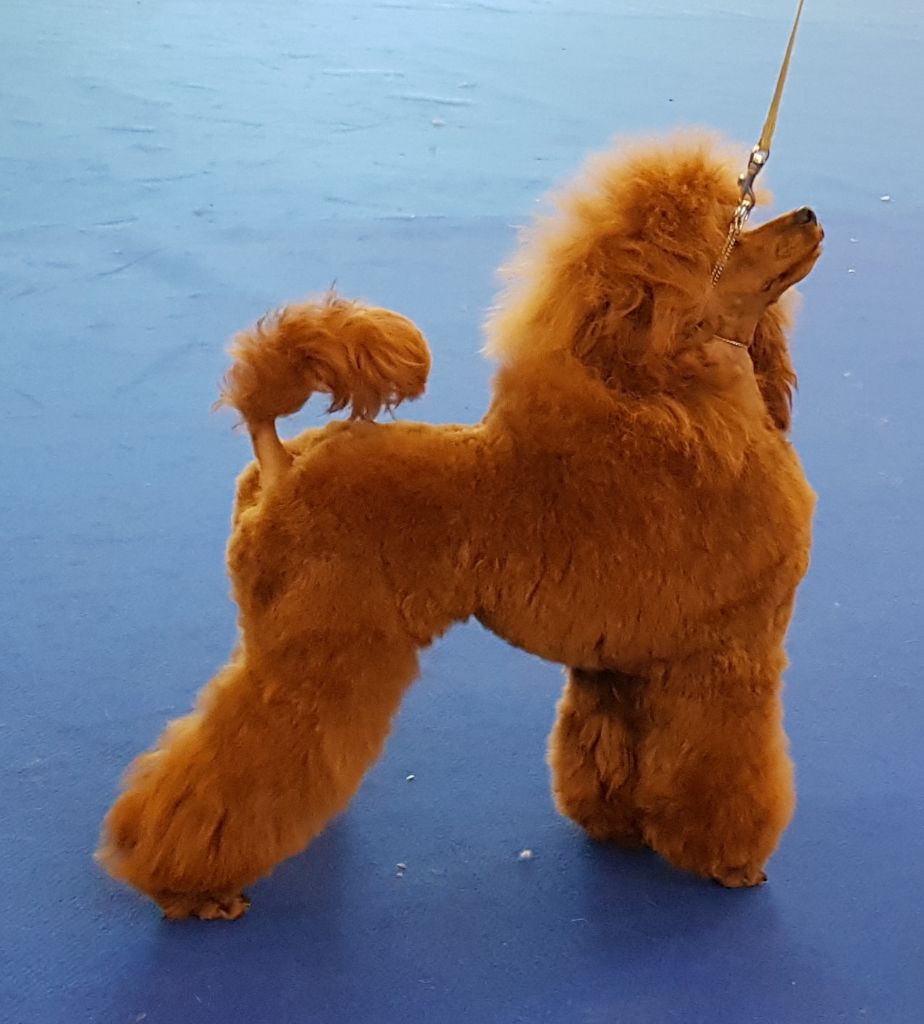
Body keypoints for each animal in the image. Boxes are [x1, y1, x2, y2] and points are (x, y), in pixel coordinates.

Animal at [98, 133, 823, 919]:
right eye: (732, 232)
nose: (810, 217)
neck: (680, 405)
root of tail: (281, 459)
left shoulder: (626, 660)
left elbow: (611, 751)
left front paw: (620, 827)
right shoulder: (729, 654)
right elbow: (726, 767)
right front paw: (728, 860)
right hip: (320, 647)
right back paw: (191, 886)